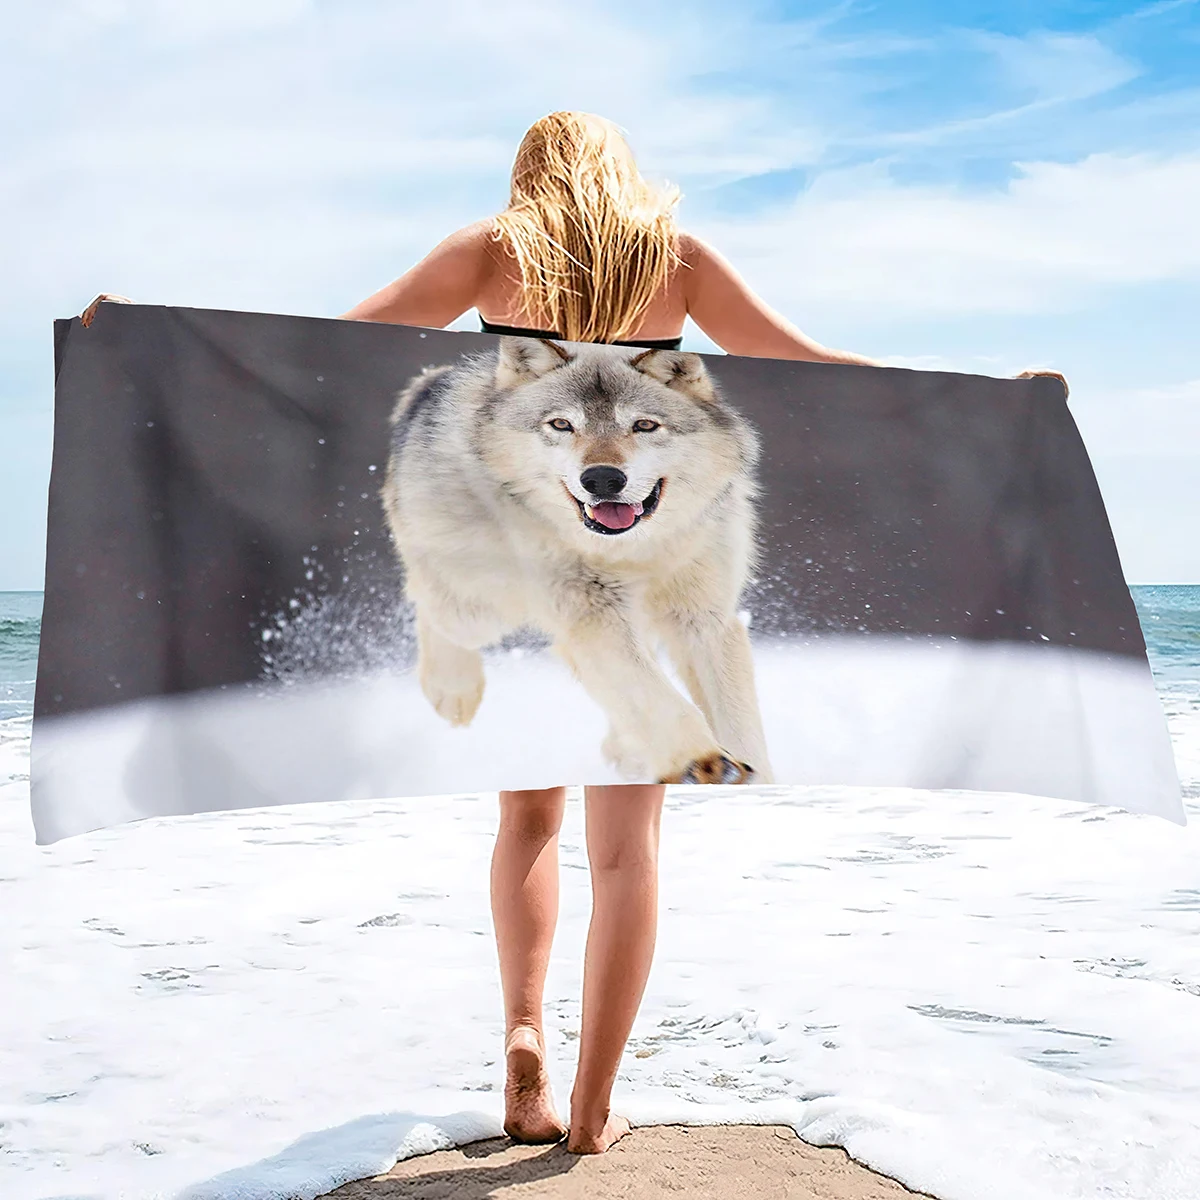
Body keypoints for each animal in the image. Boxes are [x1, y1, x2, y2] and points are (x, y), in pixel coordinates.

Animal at [380, 336, 773, 785]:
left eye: (644, 425)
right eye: (562, 425)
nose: (602, 478)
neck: (632, 551)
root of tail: (429, 384)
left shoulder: (704, 619)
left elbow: (736, 721)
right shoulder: (592, 614)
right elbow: (654, 695)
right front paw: (702, 762)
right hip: (478, 608)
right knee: (429, 604)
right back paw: (452, 691)